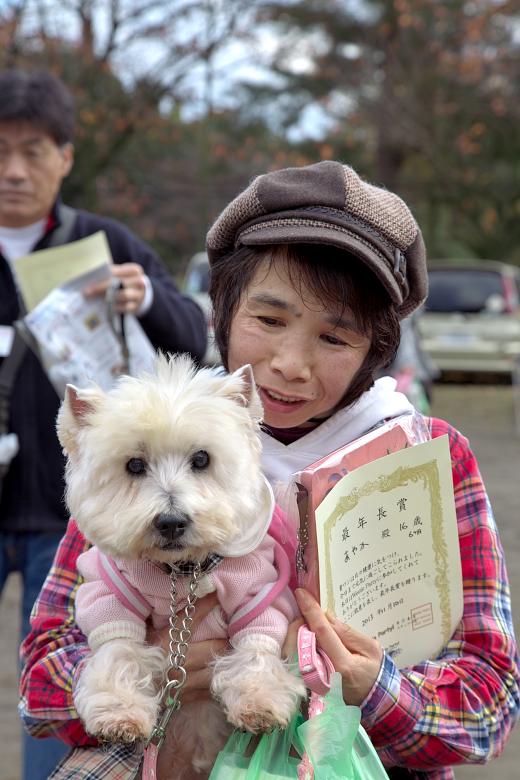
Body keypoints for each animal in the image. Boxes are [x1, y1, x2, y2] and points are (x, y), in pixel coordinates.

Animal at [57, 356, 304, 776]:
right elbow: (118, 647)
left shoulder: (259, 590)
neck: (182, 572)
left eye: (202, 459)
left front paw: (260, 702)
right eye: (134, 465)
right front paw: (119, 715)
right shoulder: (109, 592)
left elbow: (257, 645)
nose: (171, 522)